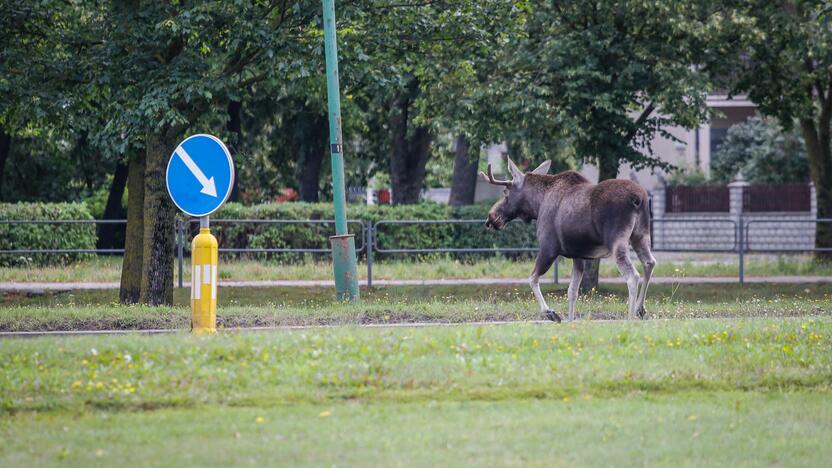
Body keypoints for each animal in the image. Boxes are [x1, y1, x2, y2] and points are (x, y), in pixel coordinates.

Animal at [480, 158, 656, 322]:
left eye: (505, 192)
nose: (490, 218)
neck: (537, 205)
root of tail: (638, 199)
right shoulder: (578, 255)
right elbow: (572, 291)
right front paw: (571, 322)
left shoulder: (548, 248)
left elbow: (532, 278)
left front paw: (550, 313)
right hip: (640, 236)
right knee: (649, 262)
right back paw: (640, 308)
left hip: (617, 242)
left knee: (632, 276)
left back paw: (630, 318)